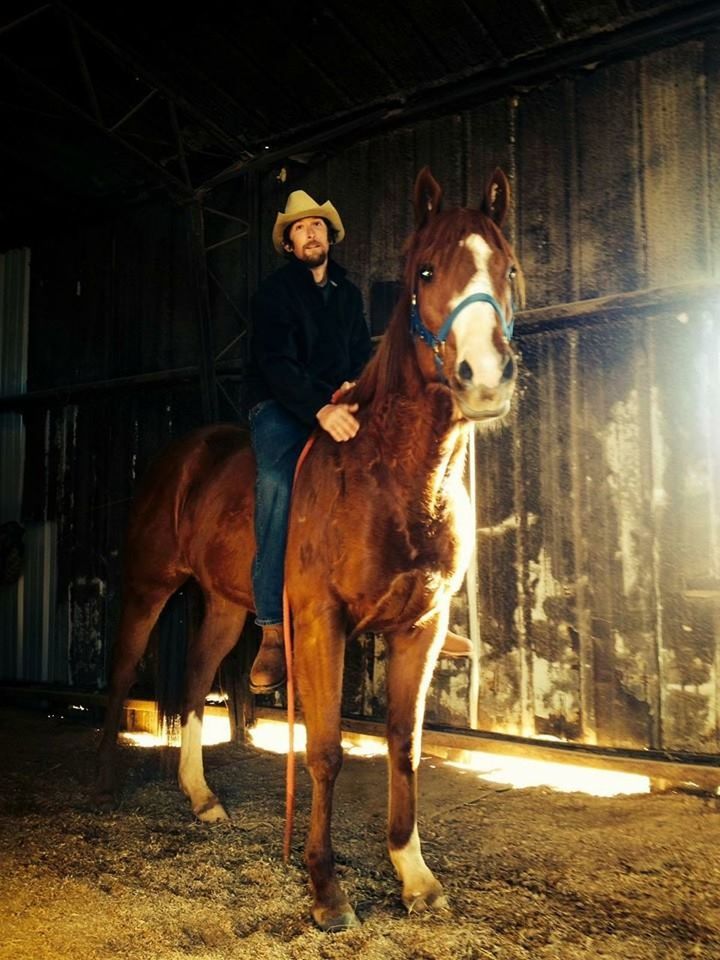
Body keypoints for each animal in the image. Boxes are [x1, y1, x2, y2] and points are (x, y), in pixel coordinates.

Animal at [97, 165, 524, 928]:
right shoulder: (323, 622)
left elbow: (405, 747)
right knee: (120, 674)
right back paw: (103, 787)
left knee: (197, 679)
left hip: (226, 607)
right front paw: (326, 888)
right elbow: (323, 753)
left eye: (507, 268)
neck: (393, 473)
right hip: (148, 589)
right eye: (424, 270)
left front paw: (414, 875)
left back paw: (201, 798)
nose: (484, 375)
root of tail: (181, 454)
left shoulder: (419, 629)